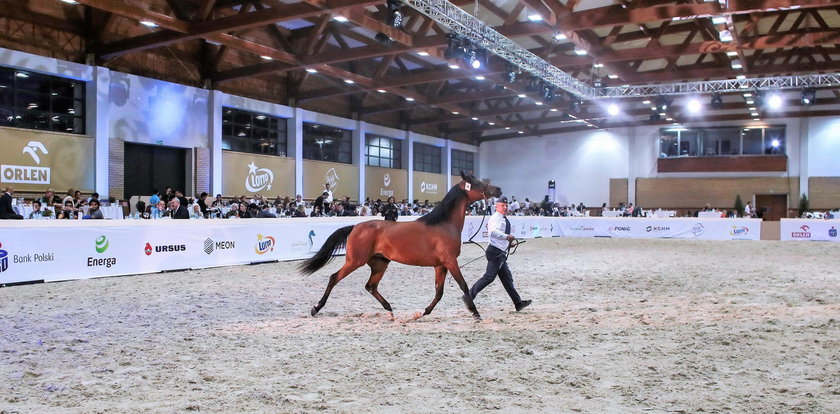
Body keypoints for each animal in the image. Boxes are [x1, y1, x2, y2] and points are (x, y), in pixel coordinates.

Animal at [300, 171, 498, 320]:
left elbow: (439, 292)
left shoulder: (440, 265)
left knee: (370, 286)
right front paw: (475, 312)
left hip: (380, 263)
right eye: (476, 182)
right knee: (334, 278)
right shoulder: (450, 262)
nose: (498, 189)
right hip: (354, 261)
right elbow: (463, 285)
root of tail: (355, 226)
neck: (443, 225)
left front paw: (423, 312)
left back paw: (389, 309)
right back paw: (316, 308)